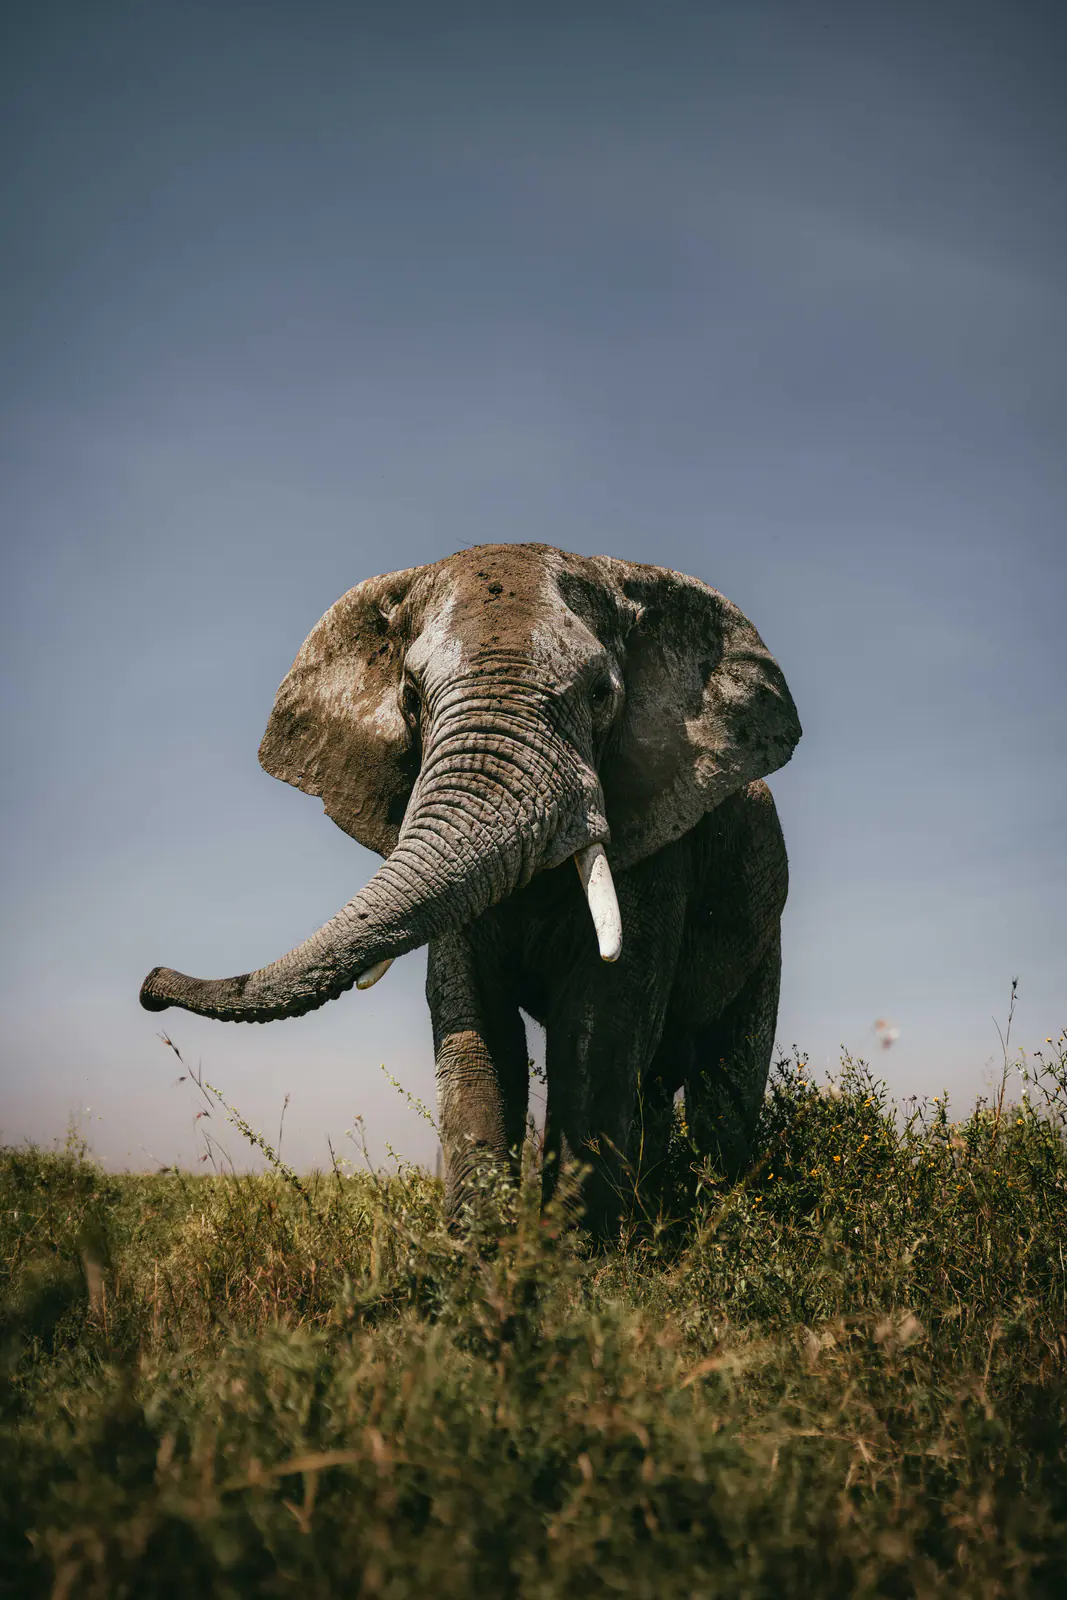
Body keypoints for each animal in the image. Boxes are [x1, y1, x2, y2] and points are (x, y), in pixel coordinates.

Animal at [141, 543, 801, 1236]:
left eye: (602, 694)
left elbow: (604, 1015)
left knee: (724, 1080)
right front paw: (478, 1249)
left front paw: (571, 1250)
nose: (152, 985)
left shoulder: (659, 837)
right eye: (410, 696)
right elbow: (472, 1014)